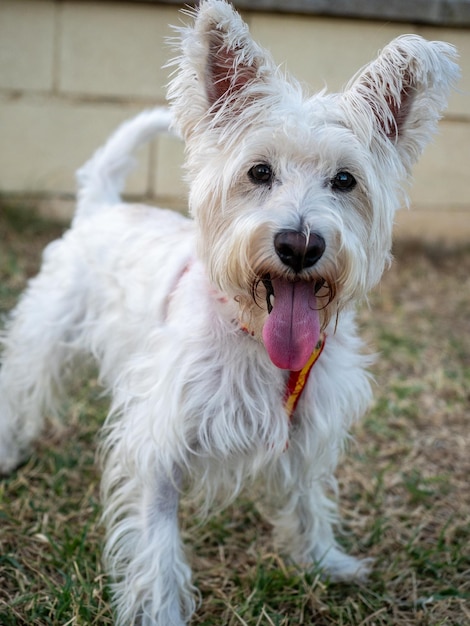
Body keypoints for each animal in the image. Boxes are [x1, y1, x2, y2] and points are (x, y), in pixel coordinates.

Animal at [0, 1, 458, 624]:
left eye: (345, 180)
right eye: (259, 172)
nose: (299, 245)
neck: (253, 335)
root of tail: (102, 206)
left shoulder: (306, 434)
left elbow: (308, 502)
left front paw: (324, 561)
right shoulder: (158, 446)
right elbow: (158, 550)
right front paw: (163, 613)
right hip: (46, 334)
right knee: (21, 387)